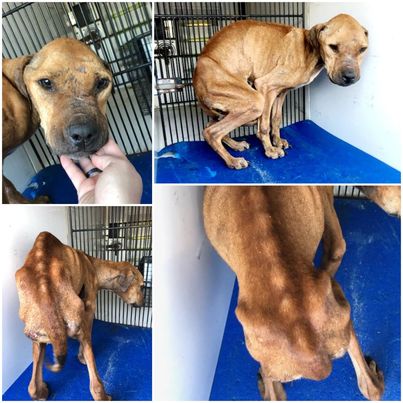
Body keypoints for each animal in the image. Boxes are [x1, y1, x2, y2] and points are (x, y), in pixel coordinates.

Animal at [15, 232, 145, 402]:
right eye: (141, 286)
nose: (144, 303)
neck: (94, 266)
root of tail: (44, 287)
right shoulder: (89, 312)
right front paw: (82, 357)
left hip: (37, 336)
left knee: (32, 387)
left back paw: (41, 392)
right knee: (95, 385)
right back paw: (103, 395)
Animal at [195, 14, 370, 169]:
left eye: (362, 49)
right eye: (333, 47)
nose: (350, 77)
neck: (310, 50)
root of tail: (195, 80)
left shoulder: (280, 93)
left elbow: (276, 119)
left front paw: (277, 141)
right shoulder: (265, 86)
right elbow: (265, 126)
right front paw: (270, 150)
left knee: (210, 125)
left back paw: (236, 145)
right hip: (255, 102)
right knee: (211, 132)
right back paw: (233, 161)